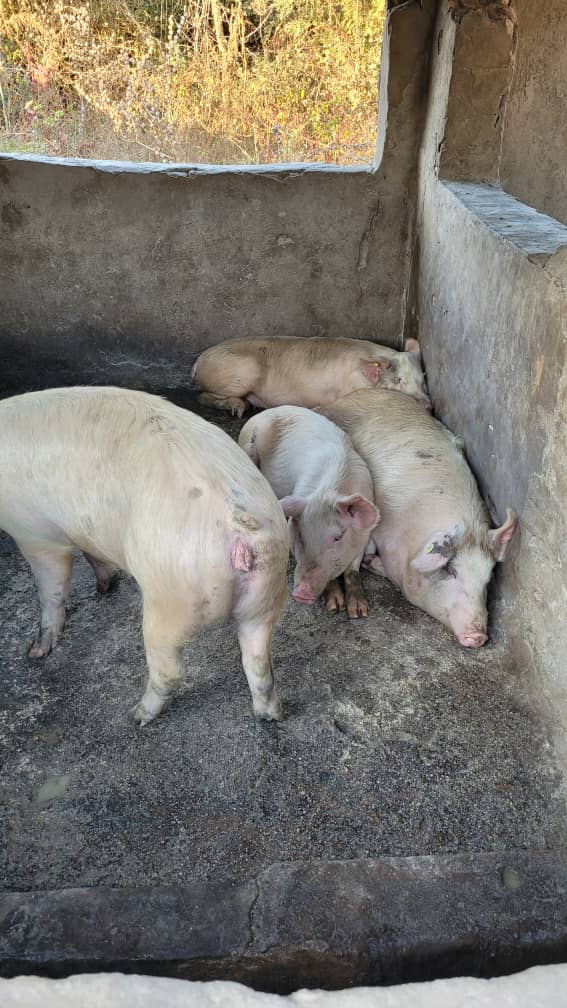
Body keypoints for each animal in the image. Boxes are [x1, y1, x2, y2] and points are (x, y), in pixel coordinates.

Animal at [0, 387, 289, 724]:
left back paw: (137, 716)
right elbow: (92, 555)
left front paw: (36, 651)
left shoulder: (33, 532)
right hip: (265, 596)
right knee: (258, 664)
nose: (32, 653)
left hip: (170, 599)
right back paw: (270, 715)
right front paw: (105, 586)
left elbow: (51, 589)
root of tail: (240, 525)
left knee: (171, 669)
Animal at [192, 335, 431, 417]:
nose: (428, 405)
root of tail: (198, 362)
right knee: (203, 396)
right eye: (399, 380)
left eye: (423, 379)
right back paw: (238, 409)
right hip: (243, 372)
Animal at [239, 406, 379, 617]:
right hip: (247, 444)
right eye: (300, 535)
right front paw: (334, 607)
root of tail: (266, 411)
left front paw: (358, 612)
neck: (328, 491)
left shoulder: (364, 535)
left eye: (338, 537)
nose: (301, 593)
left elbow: (352, 570)